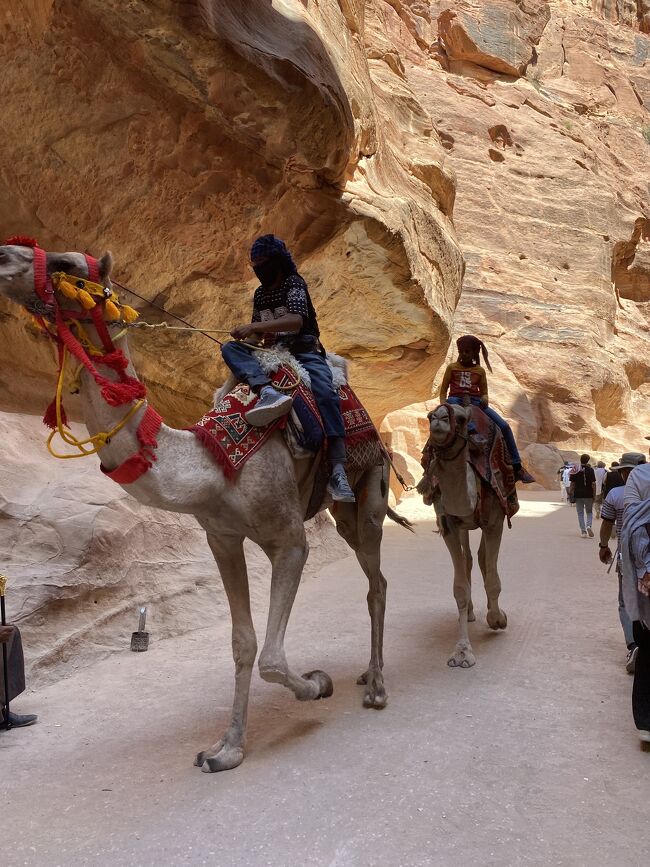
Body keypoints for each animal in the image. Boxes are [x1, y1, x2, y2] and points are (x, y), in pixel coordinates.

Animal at [0, 242, 410, 772]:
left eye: (67, 263)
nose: (5, 254)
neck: (213, 464)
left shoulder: (288, 540)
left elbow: (272, 656)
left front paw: (317, 683)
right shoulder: (221, 537)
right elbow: (243, 642)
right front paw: (227, 747)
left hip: (370, 486)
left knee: (377, 580)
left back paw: (376, 686)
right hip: (339, 514)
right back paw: (364, 676)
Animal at [420, 406, 506, 672]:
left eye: (460, 419)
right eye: (429, 416)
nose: (439, 419)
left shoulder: (494, 522)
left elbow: (493, 578)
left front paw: (497, 618)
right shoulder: (449, 524)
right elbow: (459, 587)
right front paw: (462, 652)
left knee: (482, 559)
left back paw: (490, 610)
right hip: (463, 528)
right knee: (469, 558)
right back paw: (469, 612)